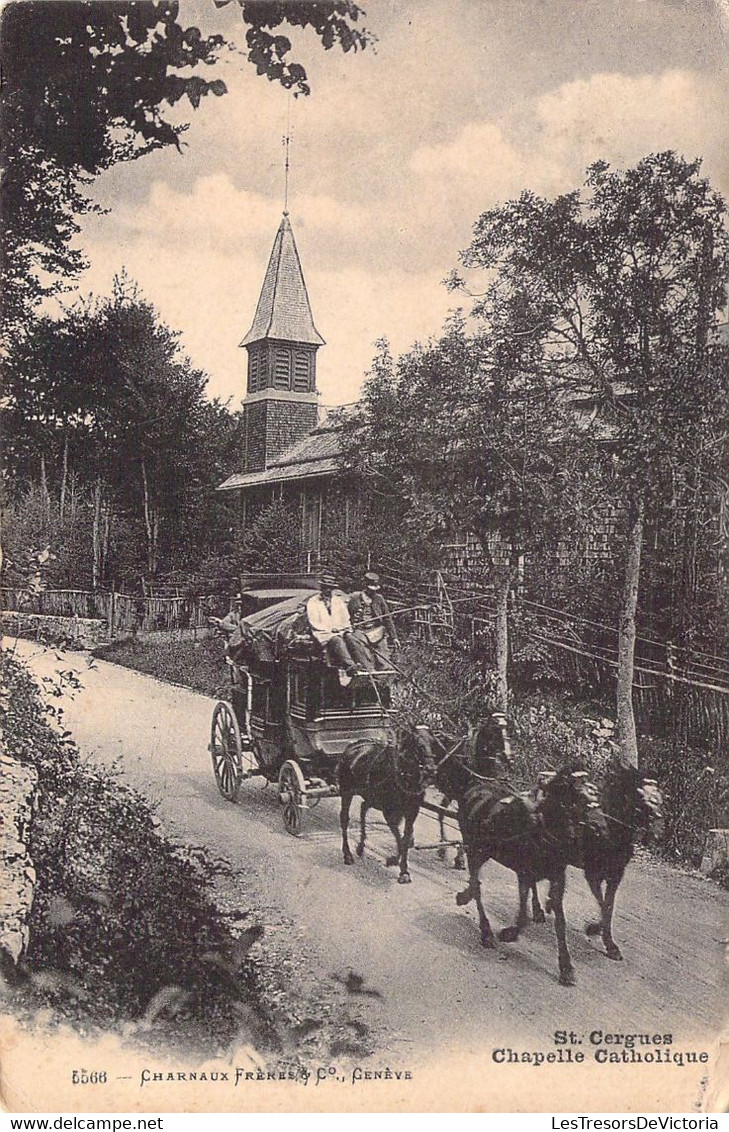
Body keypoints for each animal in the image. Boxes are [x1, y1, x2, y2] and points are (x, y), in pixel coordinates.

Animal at [339, 724, 434, 882]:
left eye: (434, 743)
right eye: (418, 745)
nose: (431, 770)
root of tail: (352, 746)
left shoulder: (412, 811)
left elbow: (405, 837)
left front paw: (404, 870)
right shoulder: (388, 811)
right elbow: (399, 836)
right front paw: (394, 861)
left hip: (370, 794)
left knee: (363, 807)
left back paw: (361, 846)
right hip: (346, 791)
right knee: (345, 819)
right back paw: (347, 854)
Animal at [427, 733, 597, 982]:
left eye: (587, 785)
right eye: (572, 788)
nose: (595, 800)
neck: (543, 826)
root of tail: (476, 785)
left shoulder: (557, 877)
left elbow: (560, 921)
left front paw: (566, 967)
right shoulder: (524, 872)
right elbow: (523, 916)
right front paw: (508, 933)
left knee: (475, 881)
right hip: (476, 849)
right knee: (477, 885)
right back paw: (485, 930)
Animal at [529, 756, 665, 959]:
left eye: (659, 795)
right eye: (640, 794)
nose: (659, 822)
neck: (610, 829)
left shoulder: (616, 875)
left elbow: (608, 907)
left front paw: (608, 943)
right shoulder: (592, 873)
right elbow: (603, 905)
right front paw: (595, 931)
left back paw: (548, 903)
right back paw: (538, 910)